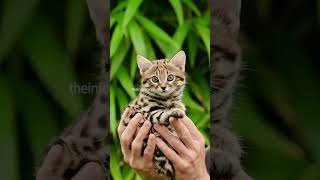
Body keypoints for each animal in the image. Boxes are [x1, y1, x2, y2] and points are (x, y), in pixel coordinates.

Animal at [122, 50, 188, 179]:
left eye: (170, 77)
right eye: (155, 79)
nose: (163, 87)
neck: (166, 99)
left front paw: (177, 105)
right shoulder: (147, 112)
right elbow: (162, 114)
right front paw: (176, 110)